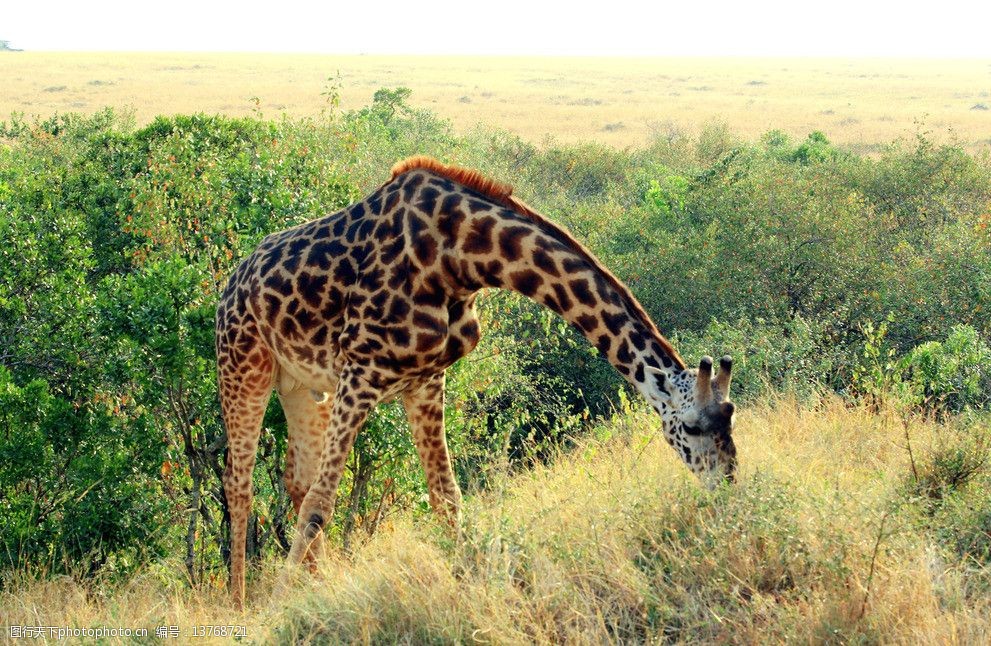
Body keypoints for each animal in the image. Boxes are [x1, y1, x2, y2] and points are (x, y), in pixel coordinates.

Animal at [221, 157, 740, 608]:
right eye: (691, 428)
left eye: (730, 419)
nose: (730, 490)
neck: (459, 257)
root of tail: (230, 281)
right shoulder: (362, 369)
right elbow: (320, 504)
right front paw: (280, 607)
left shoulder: (424, 378)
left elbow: (446, 498)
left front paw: (470, 584)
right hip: (243, 364)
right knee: (239, 484)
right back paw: (241, 601)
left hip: (303, 387)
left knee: (295, 478)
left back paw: (317, 582)